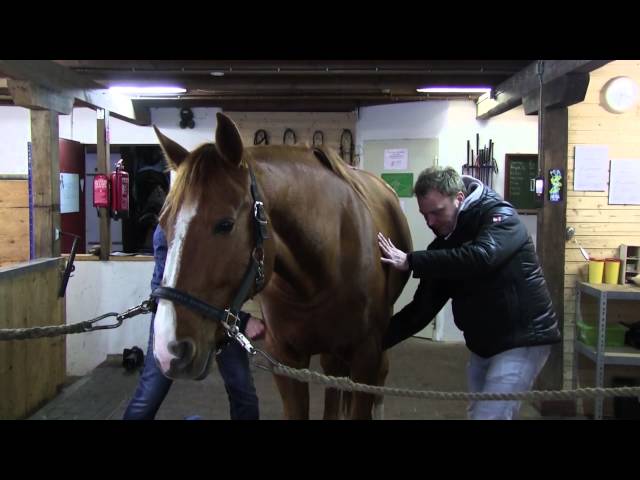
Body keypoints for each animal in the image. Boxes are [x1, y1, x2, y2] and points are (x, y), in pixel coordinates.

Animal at [151, 113, 410, 420]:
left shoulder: (366, 356)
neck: (320, 275)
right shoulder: (286, 360)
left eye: (225, 224)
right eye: (162, 222)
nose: (169, 349)